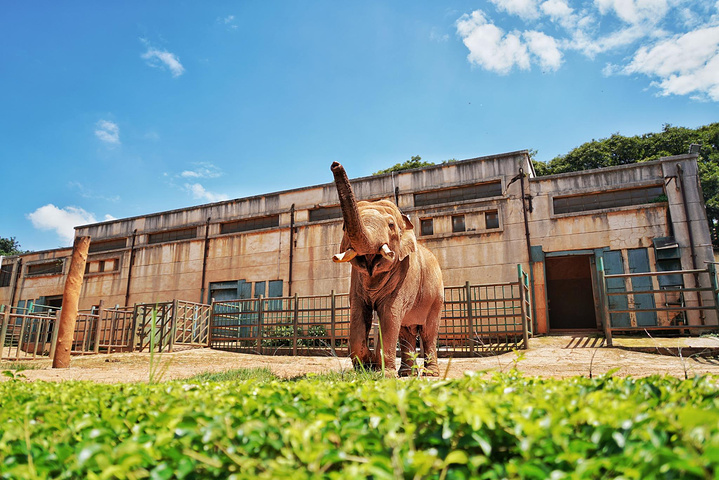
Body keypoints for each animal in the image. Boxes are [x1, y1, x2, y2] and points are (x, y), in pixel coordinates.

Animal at [332, 163, 444, 376]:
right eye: (343, 228)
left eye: (391, 225)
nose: (335, 164)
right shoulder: (356, 281)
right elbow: (359, 313)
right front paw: (366, 367)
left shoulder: (406, 276)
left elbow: (389, 314)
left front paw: (381, 373)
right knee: (406, 331)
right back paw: (406, 374)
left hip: (436, 298)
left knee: (428, 331)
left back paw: (430, 374)